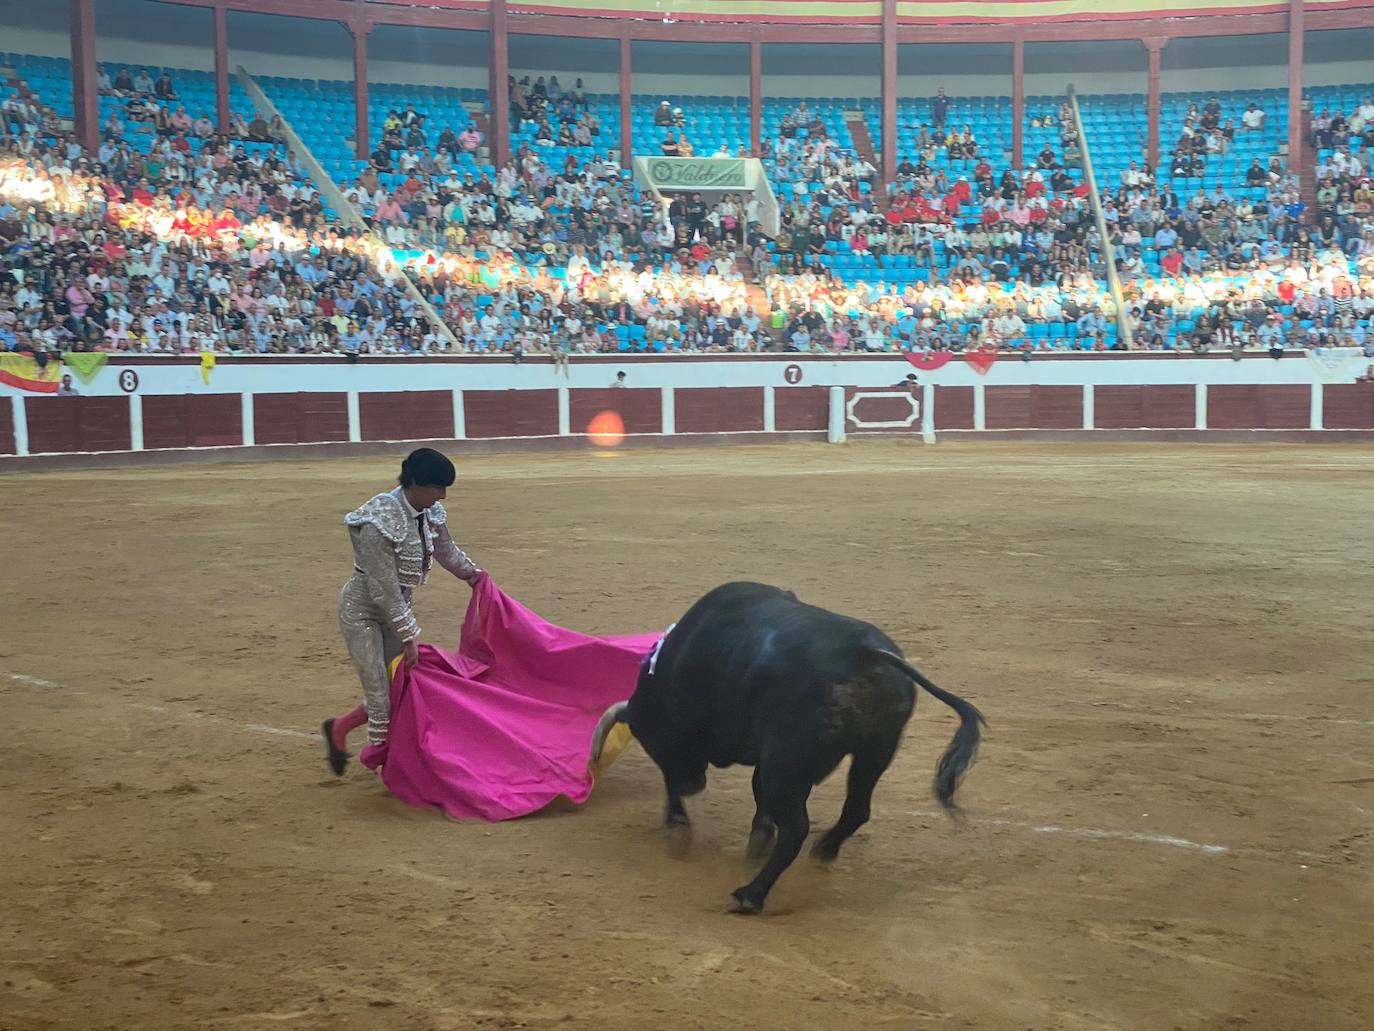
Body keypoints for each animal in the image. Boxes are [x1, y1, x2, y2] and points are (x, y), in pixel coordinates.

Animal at [590, 585, 989, 918]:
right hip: (875, 751)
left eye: (651, 740)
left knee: (796, 828)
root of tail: (864, 653)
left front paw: (679, 831)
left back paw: (748, 895)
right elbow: (758, 799)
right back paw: (823, 850)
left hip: (789, 764)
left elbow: (682, 783)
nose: (694, 783)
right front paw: (755, 843)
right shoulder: (770, 759)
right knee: (856, 809)